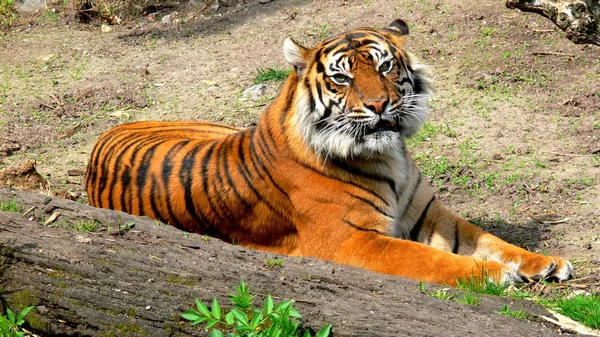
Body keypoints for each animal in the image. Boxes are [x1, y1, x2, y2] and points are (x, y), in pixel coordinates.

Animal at [86, 19, 576, 286]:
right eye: (342, 78)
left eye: (385, 66)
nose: (379, 106)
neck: (390, 157)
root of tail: (114, 128)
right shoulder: (351, 239)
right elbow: (430, 259)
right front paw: (492, 275)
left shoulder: (433, 216)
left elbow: (490, 240)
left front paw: (545, 262)